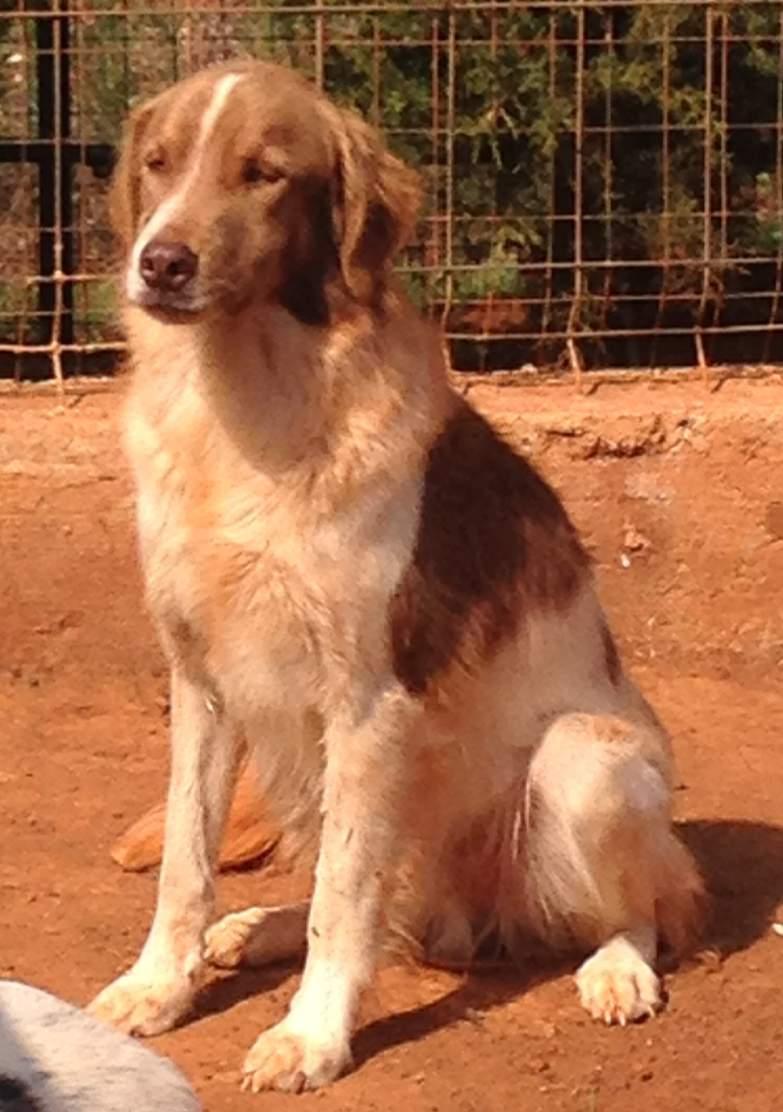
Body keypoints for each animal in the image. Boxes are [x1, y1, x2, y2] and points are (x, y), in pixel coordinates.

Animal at [87, 60, 702, 1094]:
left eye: (264, 174)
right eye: (160, 162)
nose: (160, 262)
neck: (246, 407)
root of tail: (463, 926)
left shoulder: (368, 700)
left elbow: (344, 894)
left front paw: (311, 1036)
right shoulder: (201, 680)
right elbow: (185, 860)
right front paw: (158, 986)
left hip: (585, 759)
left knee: (642, 910)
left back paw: (617, 967)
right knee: (371, 906)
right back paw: (254, 929)